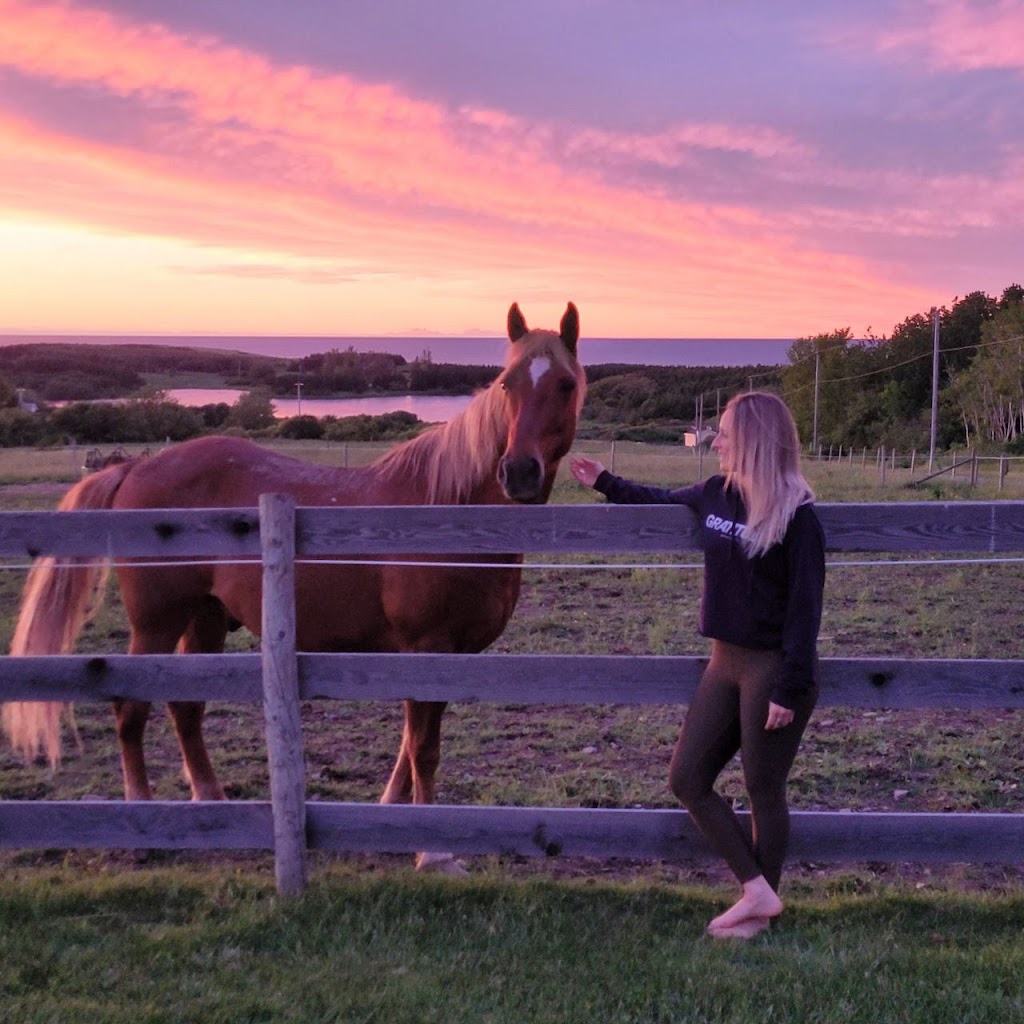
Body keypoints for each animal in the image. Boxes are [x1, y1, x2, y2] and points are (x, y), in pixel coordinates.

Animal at [2, 301, 585, 864]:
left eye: (565, 384)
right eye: (507, 384)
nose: (518, 473)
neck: (448, 509)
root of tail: (137, 468)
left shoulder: (445, 654)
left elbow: (409, 741)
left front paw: (394, 816)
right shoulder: (429, 645)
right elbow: (423, 747)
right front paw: (434, 853)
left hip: (204, 619)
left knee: (185, 707)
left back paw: (211, 807)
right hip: (157, 622)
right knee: (131, 709)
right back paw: (142, 830)